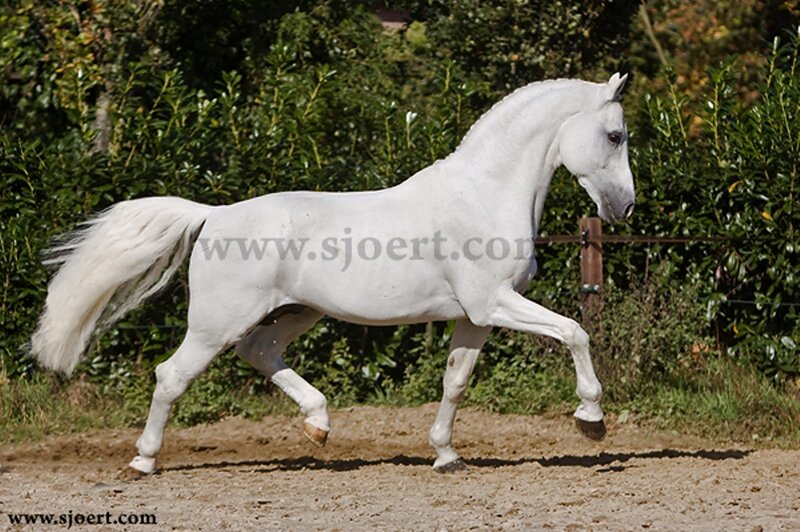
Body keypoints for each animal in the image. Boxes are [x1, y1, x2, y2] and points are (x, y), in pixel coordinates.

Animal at [30, 73, 634, 474]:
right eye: (615, 136)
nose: (624, 208)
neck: (484, 193)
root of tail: (214, 215)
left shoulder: (476, 316)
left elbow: (455, 382)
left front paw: (445, 455)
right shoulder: (495, 303)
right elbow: (574, 332)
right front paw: (591, 418)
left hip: (296, 312)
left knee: (259, 353)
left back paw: (318, 426)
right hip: (216, 323)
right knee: (172, 375)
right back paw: (144, 461)